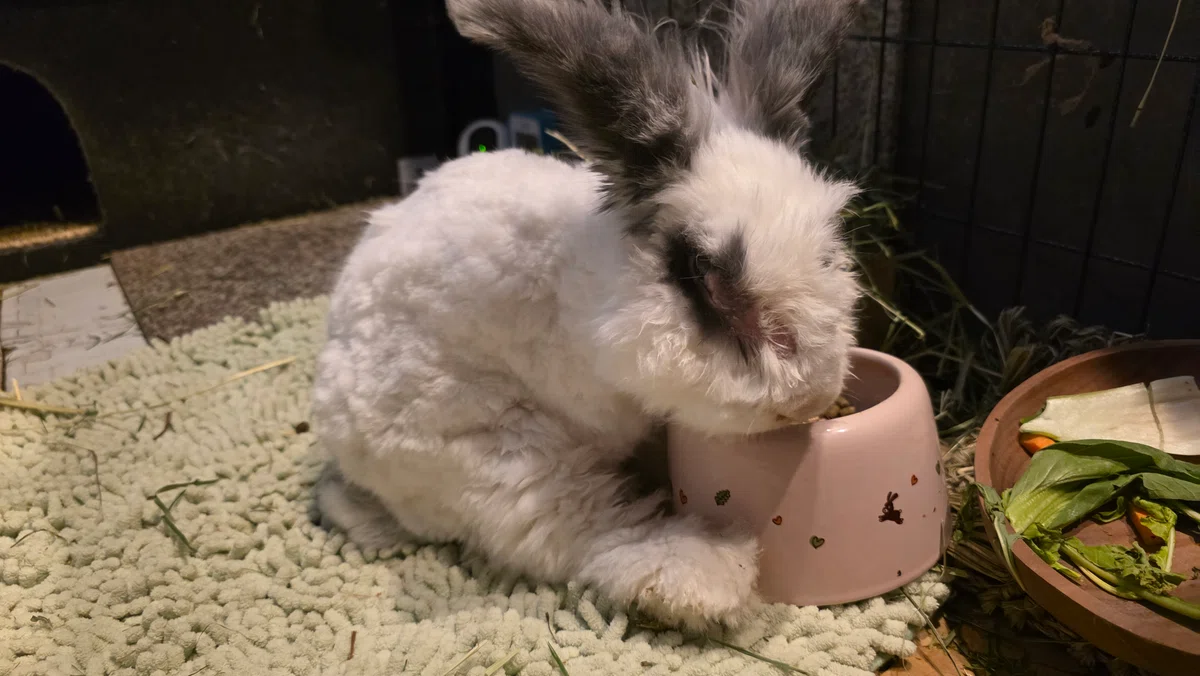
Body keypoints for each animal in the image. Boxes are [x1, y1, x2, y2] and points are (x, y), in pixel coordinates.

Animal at [312, 0, 862, 630]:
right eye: (701, 272)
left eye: (831, 247)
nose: (810, 399)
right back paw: (703, 574)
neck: (575, 294)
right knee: (580, 529)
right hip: (500, 458)